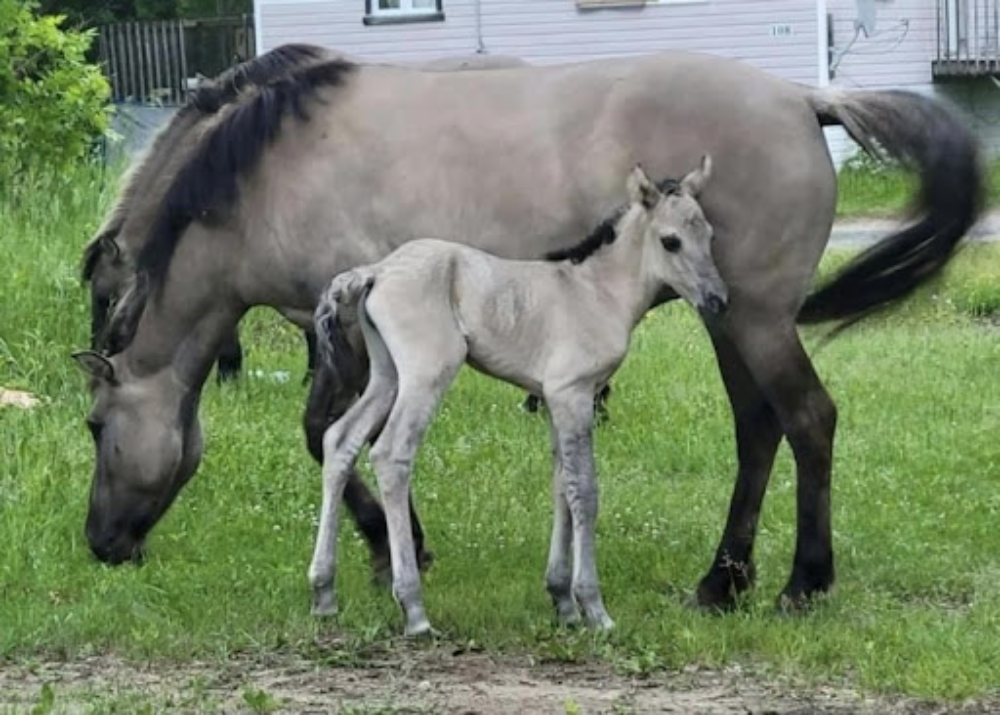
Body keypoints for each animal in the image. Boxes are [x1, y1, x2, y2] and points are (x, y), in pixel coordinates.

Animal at [310, 159, 728, 636]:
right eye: (671, 241)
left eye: (709, 236)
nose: (718, 300)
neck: (595, 292)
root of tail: (376, 271)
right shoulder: (573, 394)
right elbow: (585, 490)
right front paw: (594, 608)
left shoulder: (553, 400)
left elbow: (561, 484)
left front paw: (562, 601)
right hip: (426, 373)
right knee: (391, 452)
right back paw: (413, 609)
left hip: (386, 375)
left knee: (340, 440)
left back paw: (323, 593)